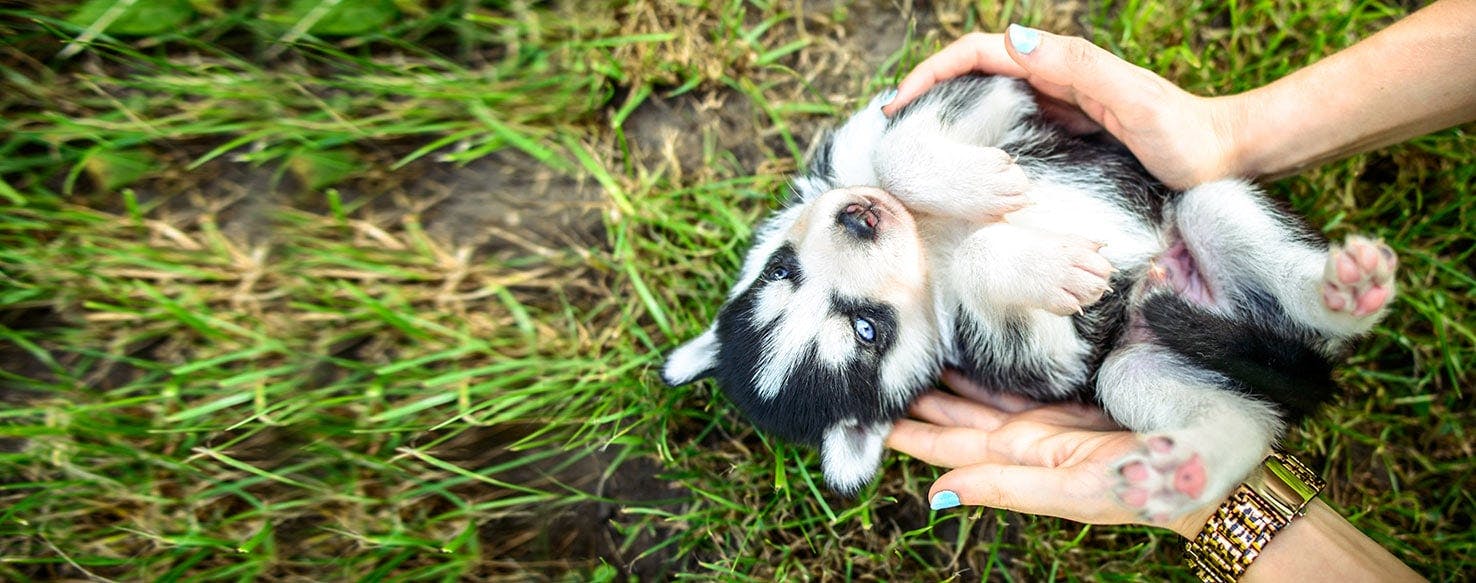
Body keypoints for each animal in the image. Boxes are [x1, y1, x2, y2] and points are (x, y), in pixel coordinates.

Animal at [661, 75, 1393, 519]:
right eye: (870, 331)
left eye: (782, 271)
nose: (860, 218)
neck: (926, 244)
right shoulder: (1041, 356)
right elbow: (994, 271)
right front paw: (1047, 263)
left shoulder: (967, 91)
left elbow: (900, 147)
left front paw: (977, 184)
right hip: (1129, 366)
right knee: (1243, 422)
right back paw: (1187, 468)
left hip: (1202, 212)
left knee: (1234, 228)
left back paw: (1343, 287)